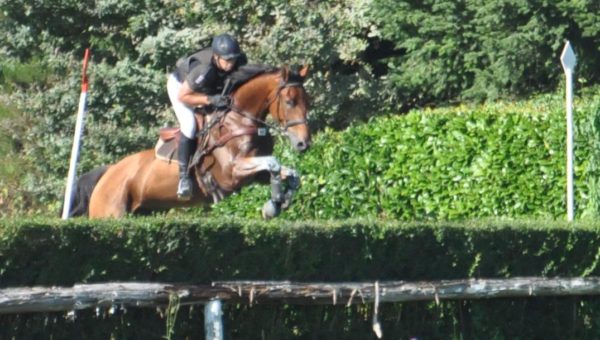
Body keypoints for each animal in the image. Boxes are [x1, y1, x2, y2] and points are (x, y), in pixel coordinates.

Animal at [71, 65, 312, 219]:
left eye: (307, 101)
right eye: (290, 101)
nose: (304, 144)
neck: (238, 120)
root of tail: (108, 173)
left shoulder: (254, 173)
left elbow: (290, 173)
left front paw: (278, 202)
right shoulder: (232, 172)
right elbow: (273, 162)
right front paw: (274, 203)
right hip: (110, 213)